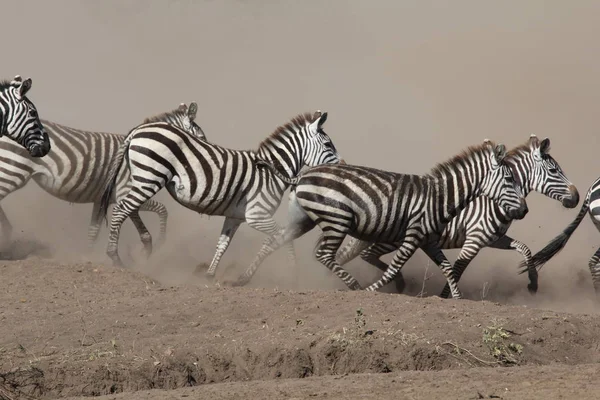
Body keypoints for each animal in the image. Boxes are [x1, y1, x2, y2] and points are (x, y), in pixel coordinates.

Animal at [0, 101, 204, 252]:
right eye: (201, 138)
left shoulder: (103, 199)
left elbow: (95, 231)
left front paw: (89, 258)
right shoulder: (125, 192)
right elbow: (162, 210)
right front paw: (160, 243)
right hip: (13, 170)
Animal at [98, 111, 342, 270]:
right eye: (328, 145)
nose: (342, 167)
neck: (271, 172)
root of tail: (139, 129)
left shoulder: (235, 217)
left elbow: (222, 245)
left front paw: (210, 275)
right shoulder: (257, 215)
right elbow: (285, 238)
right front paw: (293, 273)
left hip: (141, 179)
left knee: (127, 209)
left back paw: (140, 251)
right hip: (149, 177)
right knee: (120, 210)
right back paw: (115, 258)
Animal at [232, 139, 528, 298]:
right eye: (509, 179)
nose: (524, 212)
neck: (440, 197)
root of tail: (302, 176)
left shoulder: (428, 240)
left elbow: (447, 267)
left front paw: (456, 297)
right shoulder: (413, 235)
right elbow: (393, 268)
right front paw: (373, 290)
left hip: (303, 218)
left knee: (274, 241)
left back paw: (242, 279)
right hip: (337, 219)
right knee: (323, 254)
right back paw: (354, 285)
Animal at [336, 136, 580, 298]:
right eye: (554, 171)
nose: (576, 197)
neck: (494, 200)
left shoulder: (492, 239)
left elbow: (524, 248)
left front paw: (532, 283)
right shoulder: (474, 240)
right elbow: (457, 269)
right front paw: (446, 296)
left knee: (358, 255)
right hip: (393, 239)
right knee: (364, 255)